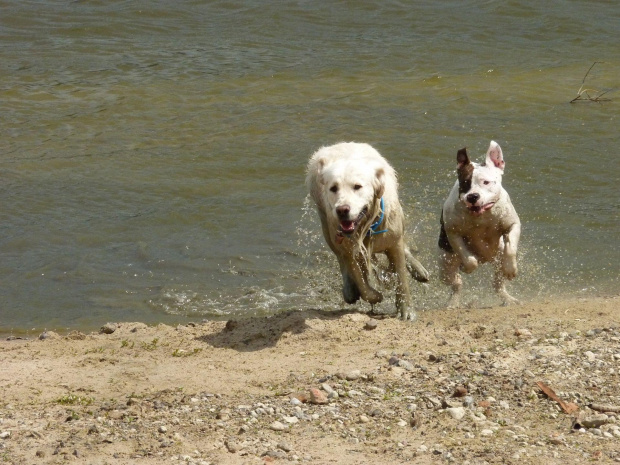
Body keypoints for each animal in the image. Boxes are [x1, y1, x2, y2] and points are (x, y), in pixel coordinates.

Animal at [306, 143, 432, 320]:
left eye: (357, 186)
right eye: (333, 188)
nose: (342, 210)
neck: (366, 227)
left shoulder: (393, 240)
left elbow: (401, 276)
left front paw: (406, 310)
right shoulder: (347, 246)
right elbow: (360, 279)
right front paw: (375, 295)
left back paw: (418, 269)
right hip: (326, 227)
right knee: (340, 259)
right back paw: (349, 290)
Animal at [438, 141, 520, 308]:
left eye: (486, 182)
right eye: (465, 183)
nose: (473, 196)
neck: (482, 215)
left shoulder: (513, 224)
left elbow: (511, 248)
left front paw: (510, 268)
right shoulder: (453, 233)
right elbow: (468, 258)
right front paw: (468, 266)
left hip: (497, 258)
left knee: (497, 284)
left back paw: (508, 299)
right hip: (445, 265)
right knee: (456, 283)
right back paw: (453, 302)